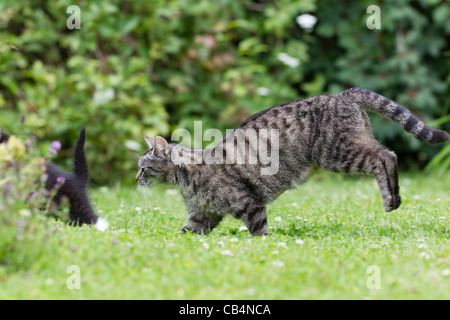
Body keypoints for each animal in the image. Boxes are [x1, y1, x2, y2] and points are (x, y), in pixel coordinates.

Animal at [135, 89, 448, 236]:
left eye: (143, 167)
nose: (136, 179)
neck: (186, 177)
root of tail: (341, 94)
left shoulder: (249, 204)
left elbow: (260, 231)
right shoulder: (200, 218)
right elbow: (180, 234)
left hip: (337, 154)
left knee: (386, 156)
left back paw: (392, 200)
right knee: (386, 154)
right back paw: (393, 199)